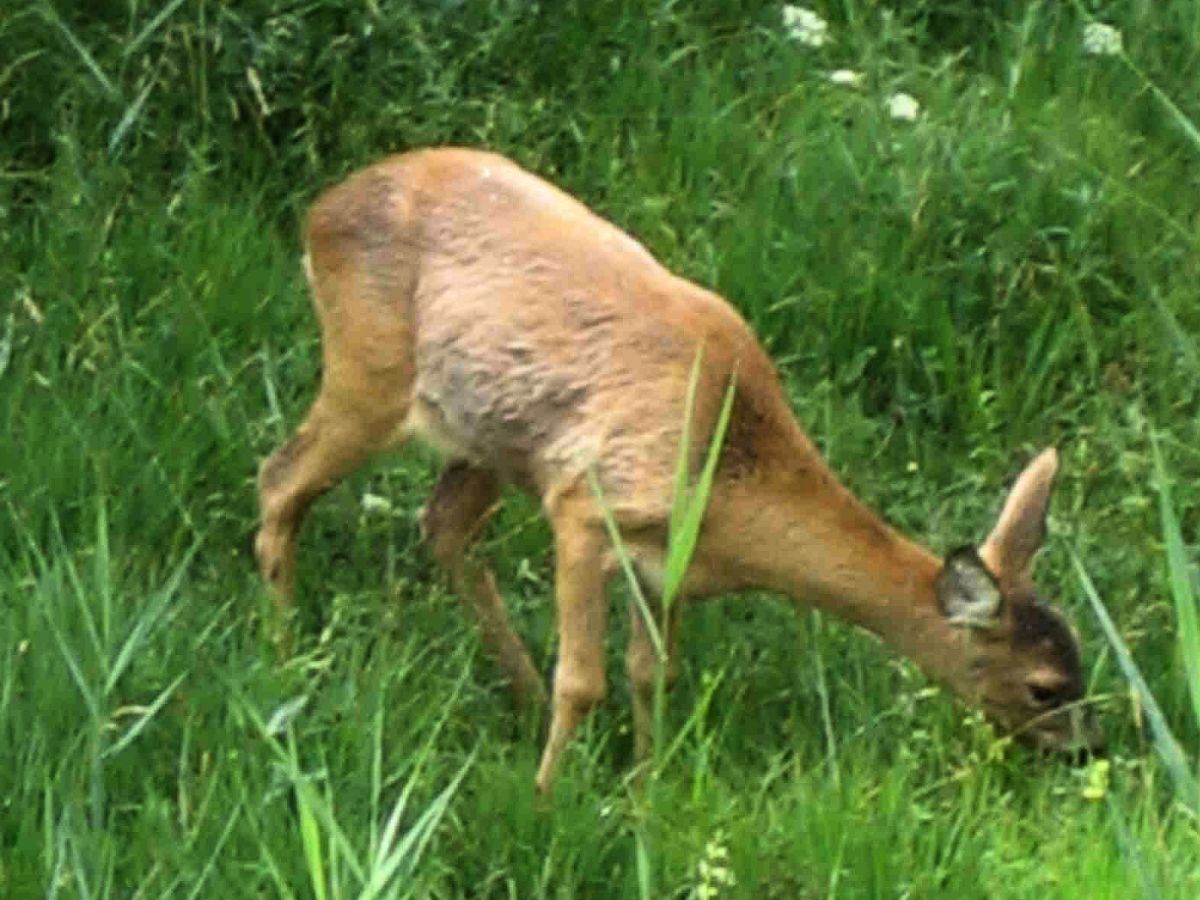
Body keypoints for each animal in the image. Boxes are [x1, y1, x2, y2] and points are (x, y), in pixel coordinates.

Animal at [255, 144, 1104, 792]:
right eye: (1044, 686)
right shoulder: (584, 506)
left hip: (487, 439)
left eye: (1083, 660)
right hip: (370, 370)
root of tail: (319, 210)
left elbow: (649, 674)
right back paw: (287, 656)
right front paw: (547, 799)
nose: (1089, 750)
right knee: (280, 479)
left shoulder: (663, 563)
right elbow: (584, 679)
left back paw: (512, 692)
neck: (727, 479)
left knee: (441, 527)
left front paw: (643, 792)